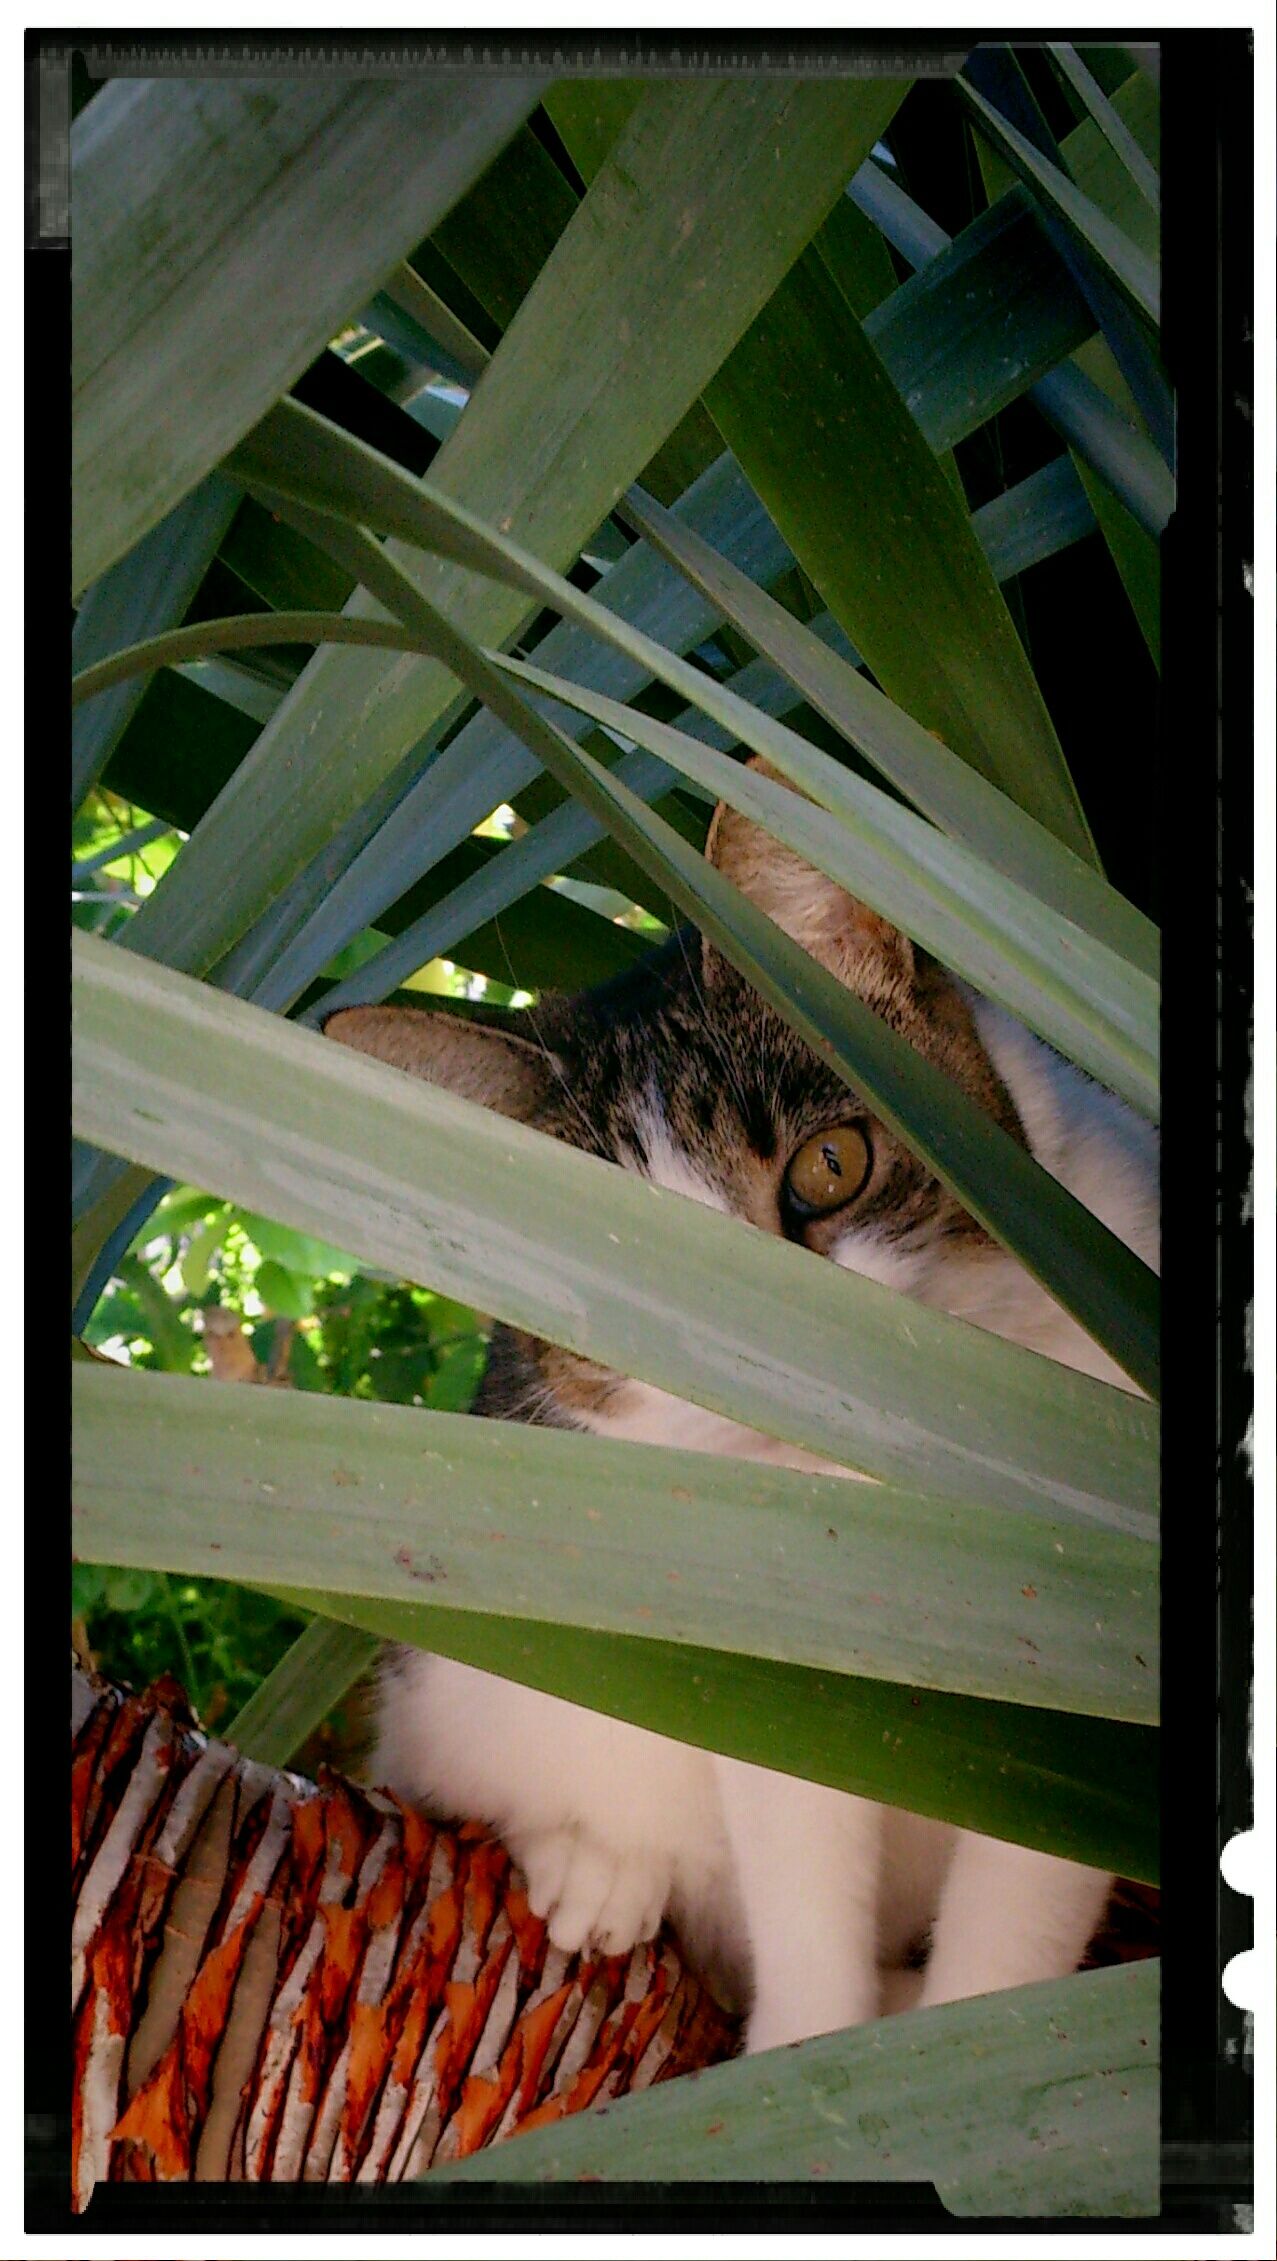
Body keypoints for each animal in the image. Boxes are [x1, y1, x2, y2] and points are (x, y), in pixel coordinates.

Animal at [324, 761, 1159, 2054]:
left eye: (829, 1166)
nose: (769, 1352)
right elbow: (802, 1897)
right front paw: (815, 2056)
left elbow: (1014, 1920)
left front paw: (980, 2039)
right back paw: (595, 1871)